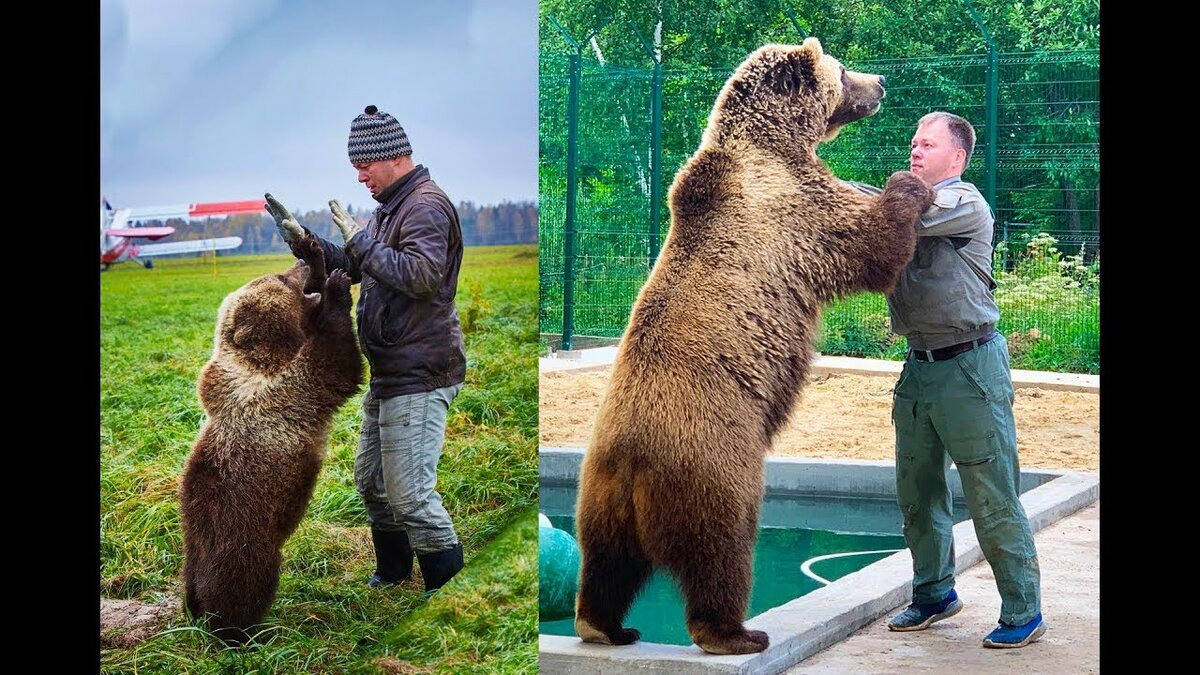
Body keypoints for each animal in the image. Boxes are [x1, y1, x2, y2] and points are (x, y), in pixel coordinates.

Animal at [178, 239, 360, 643]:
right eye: (281, 278)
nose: (303, 262)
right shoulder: (281, 393)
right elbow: (334, 363)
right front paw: (338, 290)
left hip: (194, 545)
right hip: (244, 539)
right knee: (243, 586)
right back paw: (240, 633)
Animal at [573, 36, 936, 653]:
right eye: (844, 70)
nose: (882, 81)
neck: (774, 139)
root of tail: (633, 467)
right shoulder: (796, 208)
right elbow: (866, 243)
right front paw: (904, 188)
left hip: (599, 500)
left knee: (607, 565)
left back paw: (606, 626)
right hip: (716, 473)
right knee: (722, 555)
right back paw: (737, 633)